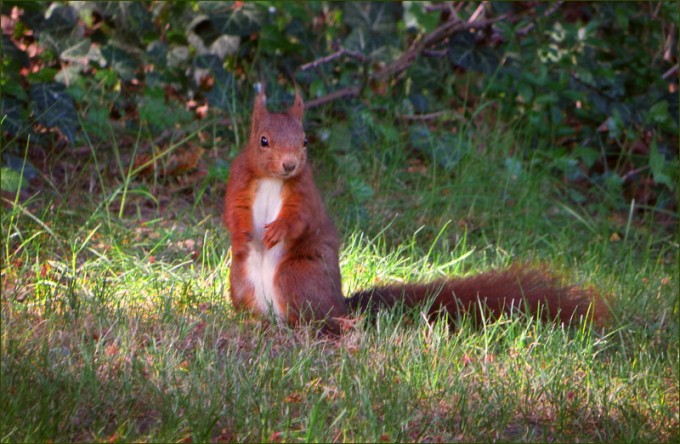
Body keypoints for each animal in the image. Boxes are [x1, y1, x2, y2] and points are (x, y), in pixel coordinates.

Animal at [223, 88, 607, 334]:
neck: (273, 179)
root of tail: (340, 303)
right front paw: (244, 233)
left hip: (298, 276)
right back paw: (254, 321)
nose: (289, 164)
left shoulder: (304, 194)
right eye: (263, 140)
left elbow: (298, 219)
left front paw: (276, 230)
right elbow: (233, 211)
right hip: (241, 280)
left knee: (321, 320)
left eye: (305, 141)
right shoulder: (239, 180)